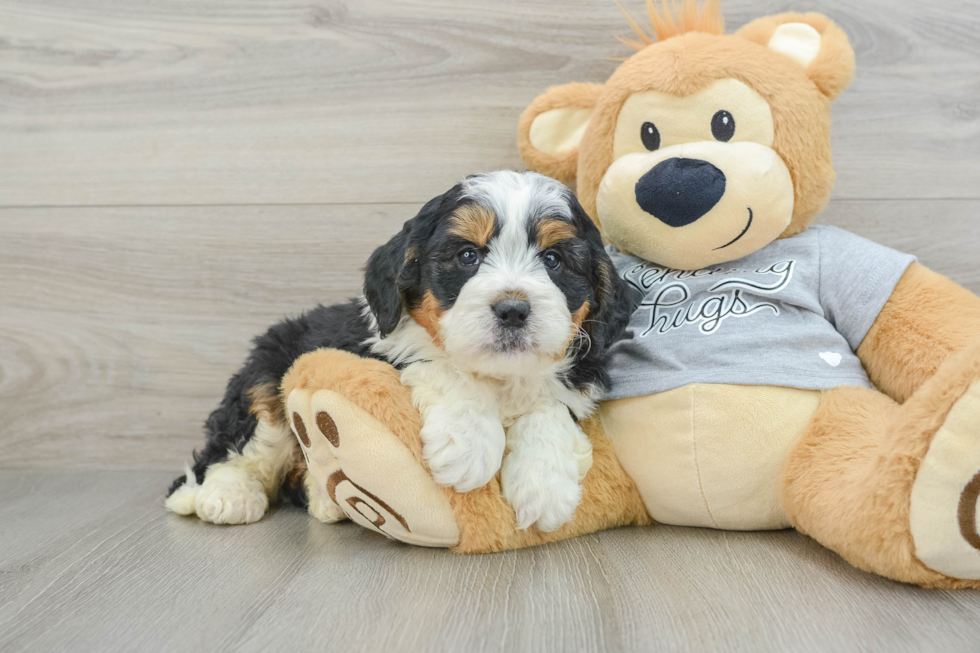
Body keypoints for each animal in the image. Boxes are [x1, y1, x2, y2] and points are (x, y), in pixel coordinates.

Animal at [166, 171, 632, 532]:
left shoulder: (577, 377)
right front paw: (468, 447)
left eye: (553, 260)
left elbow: (548, 408)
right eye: (467, 255)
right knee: (237, 449)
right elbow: (443, 366)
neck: (498, 375)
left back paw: (324, 499)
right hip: (266, 376)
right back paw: (224, 496)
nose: (513, 309)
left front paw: (545, 486)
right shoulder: (385, 347)